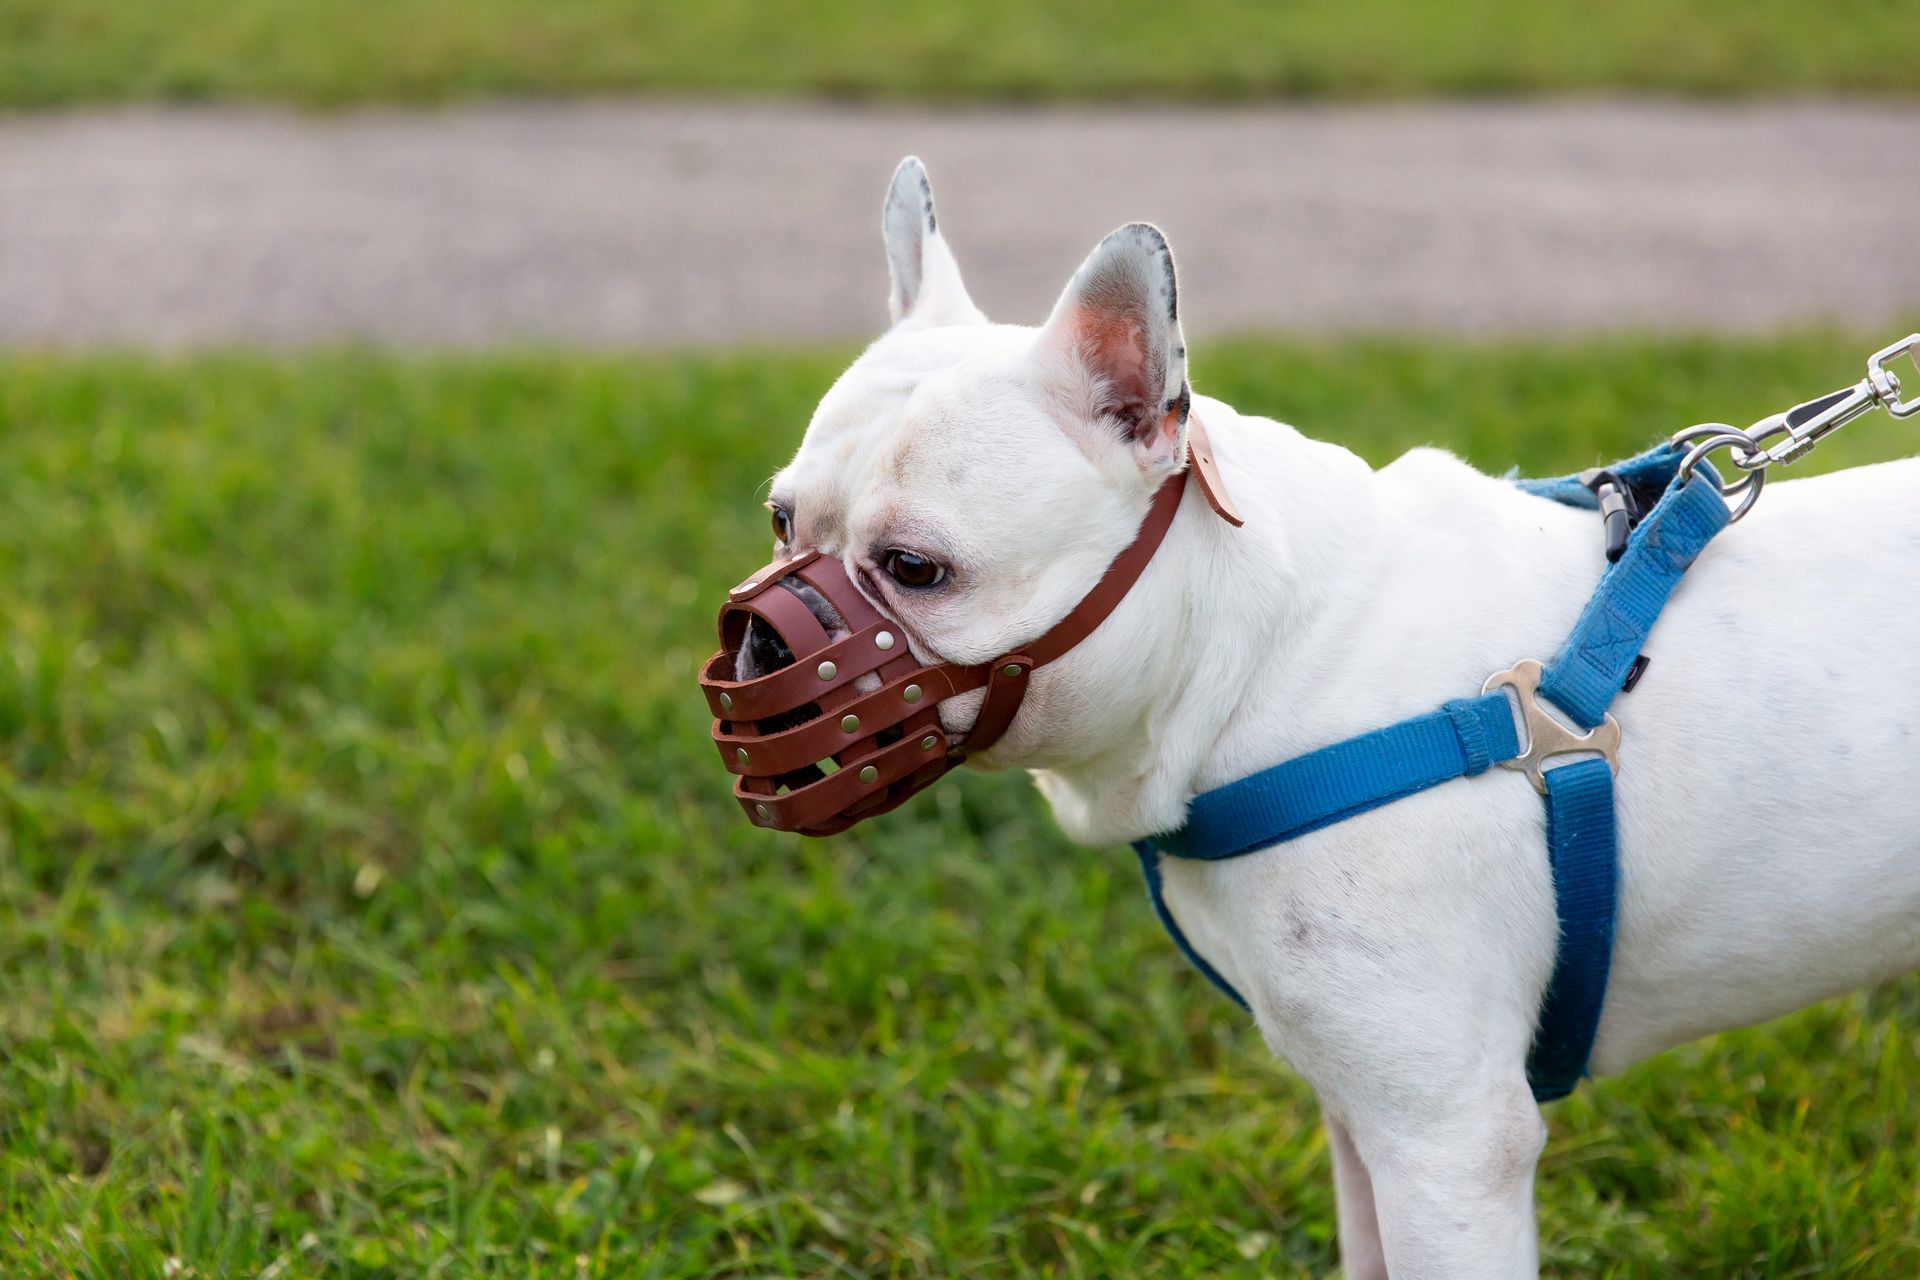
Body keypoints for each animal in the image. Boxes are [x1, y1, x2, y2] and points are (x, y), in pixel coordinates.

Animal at [760, 160, 1920, 1280]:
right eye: (780, 518)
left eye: (917, 569)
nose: (762, 645)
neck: (1258, 656)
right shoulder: (1364, 1112)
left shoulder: (1448, 1141)